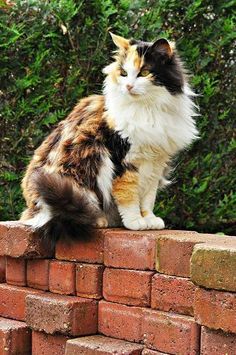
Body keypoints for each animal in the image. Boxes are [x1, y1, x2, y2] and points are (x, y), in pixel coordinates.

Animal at [20, 32, 198, 245]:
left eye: (144, 72)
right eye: (123, 73)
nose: (128, 86)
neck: (147, 109)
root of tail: (32, 209)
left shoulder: (156, 162)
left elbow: (148, 197)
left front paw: (150, 219)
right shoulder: (123, 160)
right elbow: (129, 196)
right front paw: (136, 222)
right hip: (84, 168)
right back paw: (100, 220)